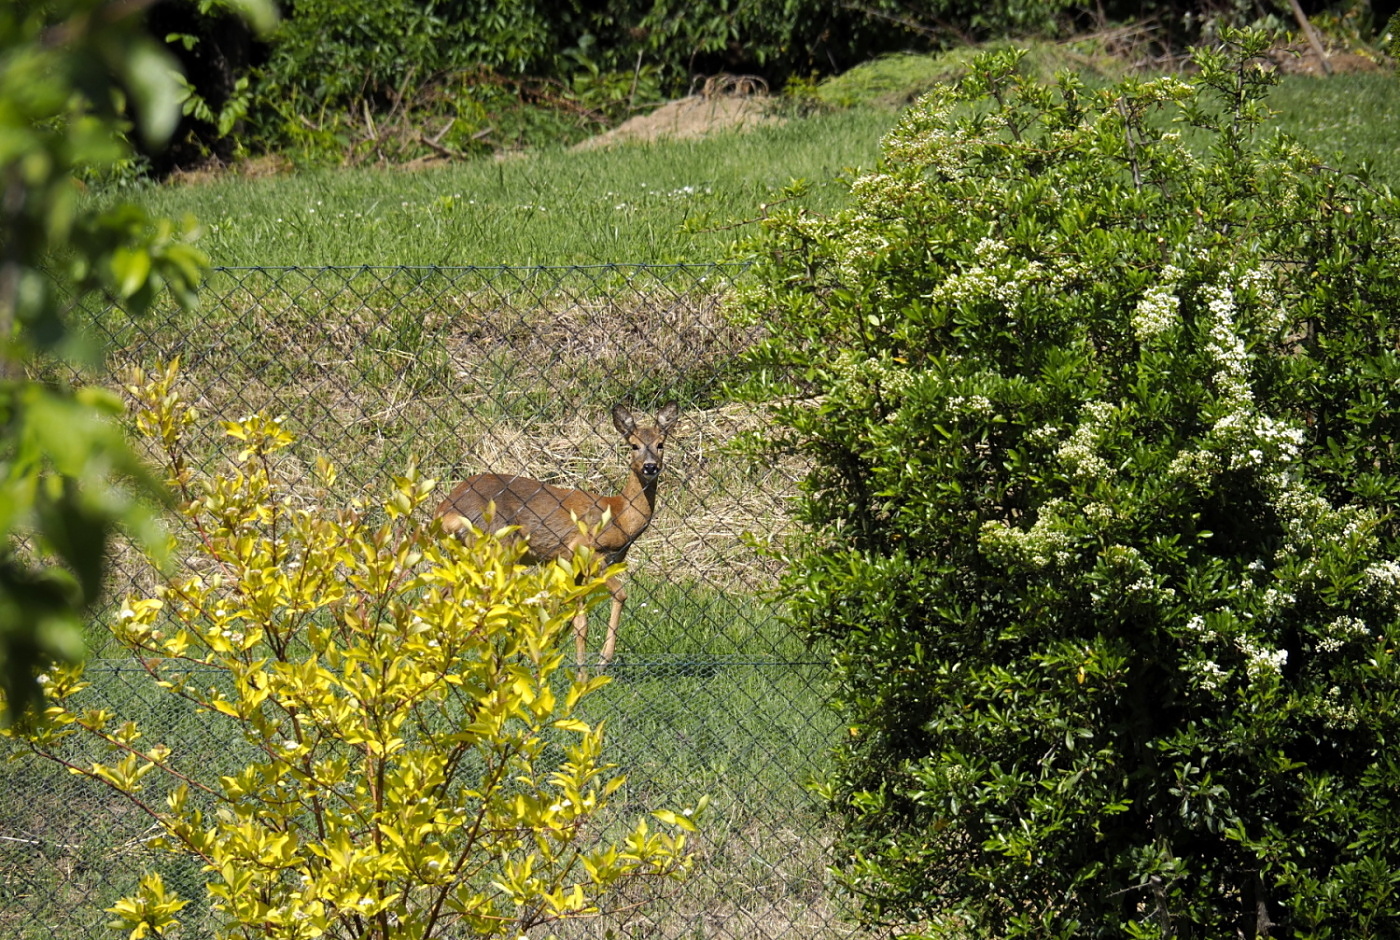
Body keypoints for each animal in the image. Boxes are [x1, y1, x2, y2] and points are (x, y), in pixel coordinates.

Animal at [434, 403, 680, 678]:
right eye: (634, 445)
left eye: (661, 444)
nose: (650, 466)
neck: (621, 517)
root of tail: (444, 511)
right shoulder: (585, 549)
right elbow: (618, 595)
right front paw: (599, 663)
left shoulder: (575, 566)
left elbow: (577, 619)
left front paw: (577, 668)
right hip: (497, 548)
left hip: (463, 555)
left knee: (443, 597)